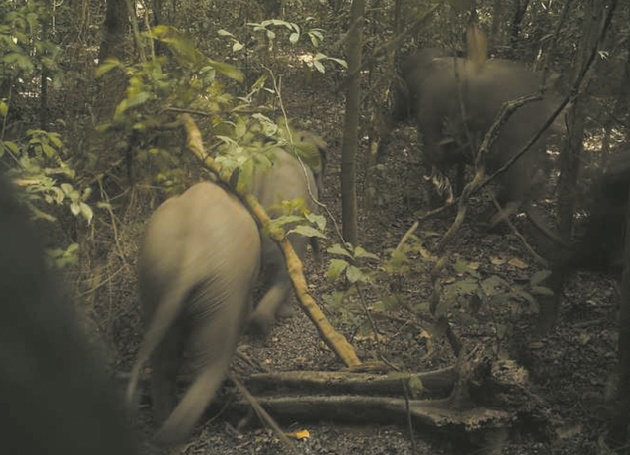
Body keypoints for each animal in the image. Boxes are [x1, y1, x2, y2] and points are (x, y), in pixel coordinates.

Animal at [128, 182, 262, 446]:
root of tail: (191, 257)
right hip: (224, 288)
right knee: (212, 360)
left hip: (155, 277)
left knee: (165, 359)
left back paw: (162, 424)